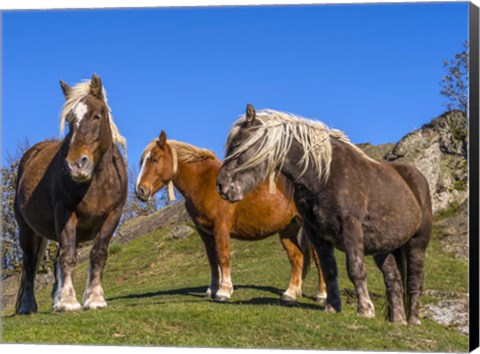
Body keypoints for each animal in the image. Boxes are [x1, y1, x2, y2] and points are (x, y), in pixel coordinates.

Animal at [14, 74, 127, 312]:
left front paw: (94, 299)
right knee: (29, 264)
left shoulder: (113, 215)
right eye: (69, 121)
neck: (97, 181)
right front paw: (67, 302)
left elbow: (98, 253)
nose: (76, 164)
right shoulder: (66, 213)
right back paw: (28, 305)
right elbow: (68, 256)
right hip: (26, 229)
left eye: (97, 116)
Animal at [134, 131, 326, 302]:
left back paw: (322, 295)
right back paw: (291, 293)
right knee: (297, 258)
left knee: (318, 259)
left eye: (154, 159)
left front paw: (224, 292)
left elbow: (223, 257)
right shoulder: (205, 232)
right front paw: (212, 289)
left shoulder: (221, 227)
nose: (140, 191)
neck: (204, 183)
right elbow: (212, 259)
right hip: (288, 229)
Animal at [216, 104, 434, 324]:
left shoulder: (351, 227)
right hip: (384, 249)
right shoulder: (316, 233)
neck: (323, 176)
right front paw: (332, 306)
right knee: (394, 281)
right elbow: (329, 269)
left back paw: (413, 321)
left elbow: (355, 269)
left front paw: (365, 310)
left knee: (414, 281)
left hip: (417, 243)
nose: (221, 186)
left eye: (237, 144)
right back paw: (397, 322)